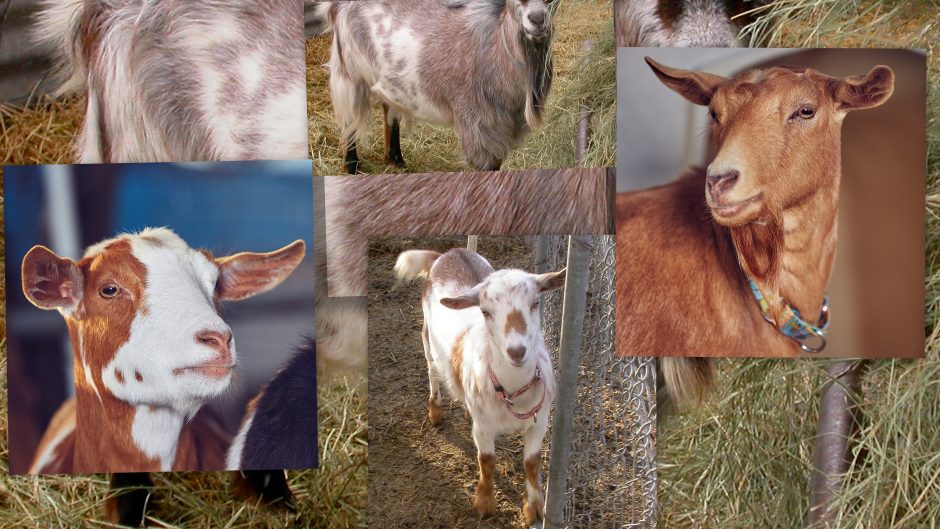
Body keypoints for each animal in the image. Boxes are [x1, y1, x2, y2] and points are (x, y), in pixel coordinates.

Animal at [323, 0, 554, 173]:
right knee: (349, 122)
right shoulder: (480, 129)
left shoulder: (500, 130)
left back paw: (396, 158)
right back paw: (351, 166)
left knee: (389, 109)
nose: (537, 19)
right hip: (349, 75)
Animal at [395, 247, 564, 523]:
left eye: (535, 303)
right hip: (426, 336)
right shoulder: (483, 428)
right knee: (432, 372)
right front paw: (484, 503)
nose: (516, 351)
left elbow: (531, 462)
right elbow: (487, 460)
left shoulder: (539, 422)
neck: (513, 393)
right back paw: (435, 411)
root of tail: (447, 253)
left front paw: (534, 507)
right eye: (485, 312)